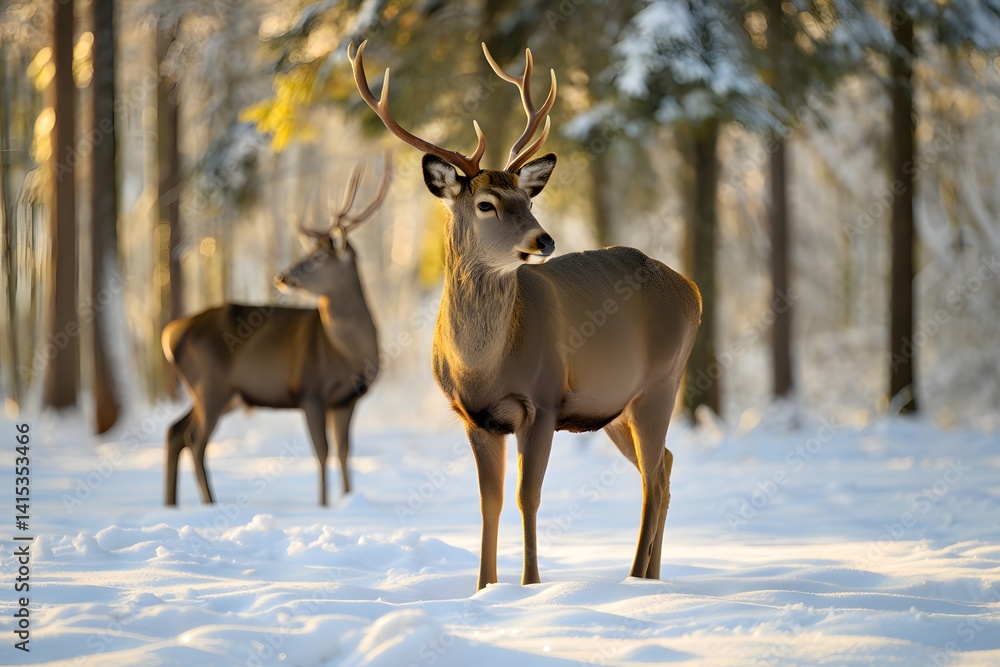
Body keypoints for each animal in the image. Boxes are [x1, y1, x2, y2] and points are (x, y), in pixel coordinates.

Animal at [161, 155, 390, 507]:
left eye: (319, 255)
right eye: (310, 251)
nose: (282, 276)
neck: (347, 352)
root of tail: (169, 334)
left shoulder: (347, 399)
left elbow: (344, 451)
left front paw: (349, 499)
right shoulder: (310, 389)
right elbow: (322, 452)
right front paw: (324, 505)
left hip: (219, 392)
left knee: (175, 431)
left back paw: (172, 504)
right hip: (210, 385)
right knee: (194, 438)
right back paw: (209, 503)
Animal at [349, 42, 701, 589]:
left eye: (527, 198)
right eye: (486, 203)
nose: (545, 239)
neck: (482, 366)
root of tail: (695, 290)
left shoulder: (543, 402)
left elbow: (525, 497)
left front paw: (529, 586)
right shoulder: (474, 417)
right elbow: (488, 503)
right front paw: (483, 588)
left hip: (661, 382)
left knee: (651, 478)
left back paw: (634, 578)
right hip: (616, 406)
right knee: (662, 465)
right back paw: (650, 576)